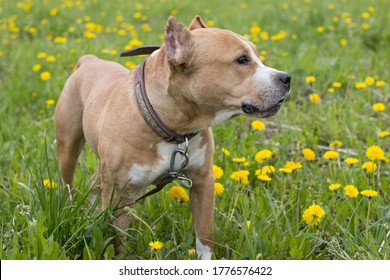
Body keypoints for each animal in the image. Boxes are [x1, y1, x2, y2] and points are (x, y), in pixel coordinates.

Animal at [55, 15, 292, 260]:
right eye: (242, 60)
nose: (286, 78)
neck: (172, 125)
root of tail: (89, 60)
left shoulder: (203, 180)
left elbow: (205, 232)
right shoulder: (118, 193)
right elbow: (119, 241)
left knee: (94, 182)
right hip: (68, 146)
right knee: (68, 180)